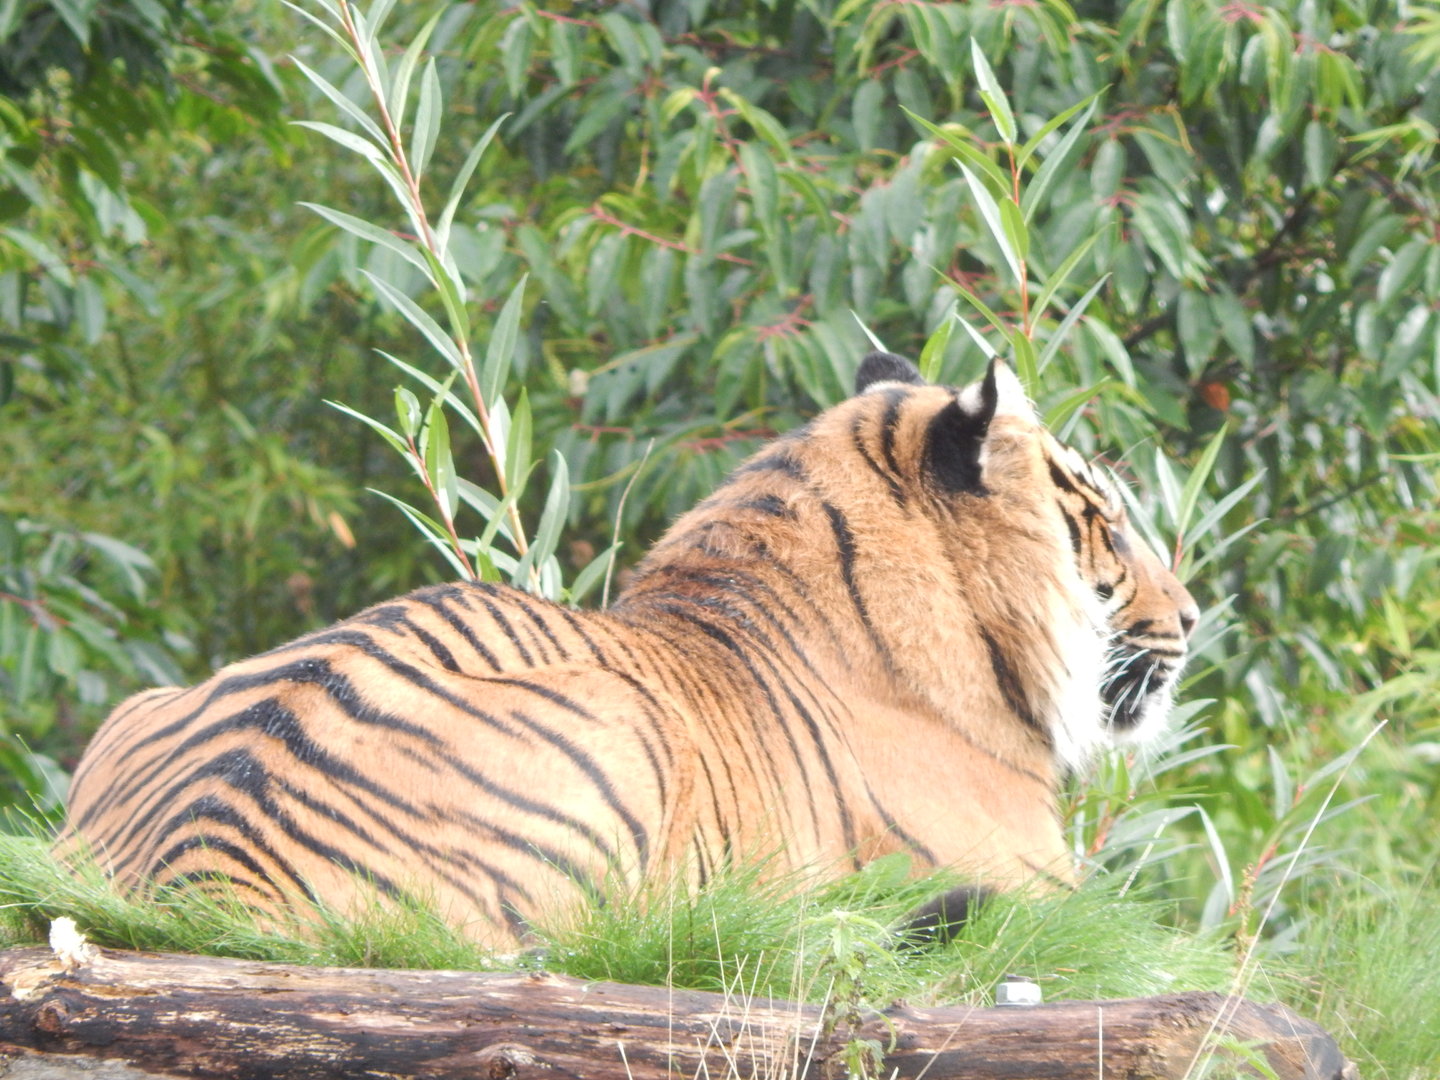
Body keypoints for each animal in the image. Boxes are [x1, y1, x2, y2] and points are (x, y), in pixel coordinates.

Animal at [60, 352, 1199, 948]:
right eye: (1106, 522)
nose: (1192, 617)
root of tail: (205, 881)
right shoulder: (1043, 886)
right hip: (625, 726)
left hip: (138, 706)